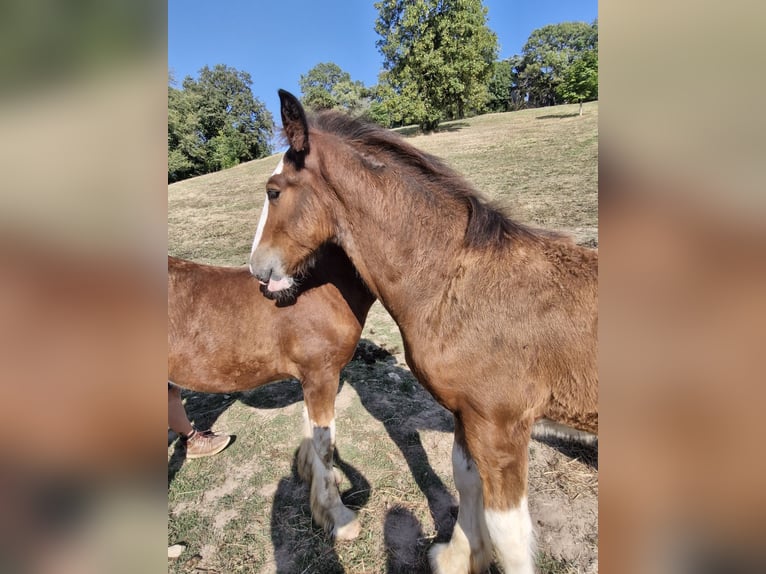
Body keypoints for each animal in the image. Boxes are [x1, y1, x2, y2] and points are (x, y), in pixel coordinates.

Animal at [252, 91, 600, 574]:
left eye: (274, 191)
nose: (257, 269)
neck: (455, 281)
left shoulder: (501, 427)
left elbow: (508, 531)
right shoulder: (467, 416)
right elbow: (465, 479)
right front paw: (457, 556)